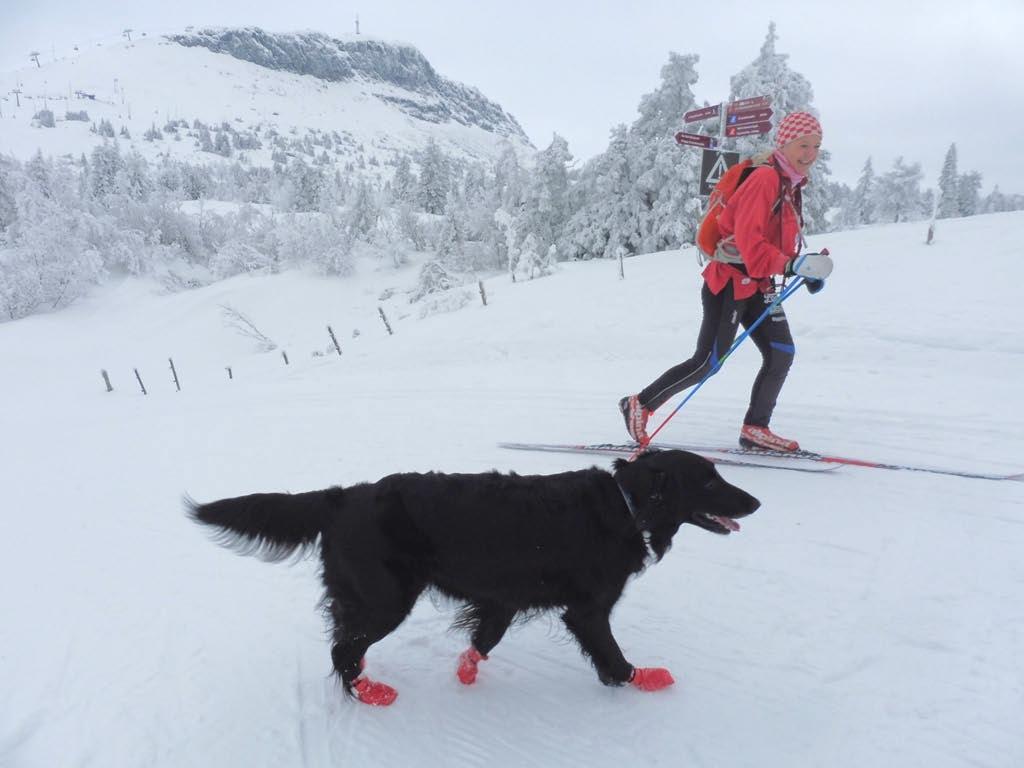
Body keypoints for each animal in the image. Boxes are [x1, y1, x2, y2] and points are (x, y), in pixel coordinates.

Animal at [188, 450, 757, 708]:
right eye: (708, 479)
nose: (755, 502)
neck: (625, 504)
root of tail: (341, 496)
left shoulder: (503, 597)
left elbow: (484, 638)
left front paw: (466, 671)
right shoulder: (588, 609)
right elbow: (612, 656)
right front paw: (640, 678)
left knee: (345, 642)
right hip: (385, 599)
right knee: (341, 649)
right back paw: (369, 692)